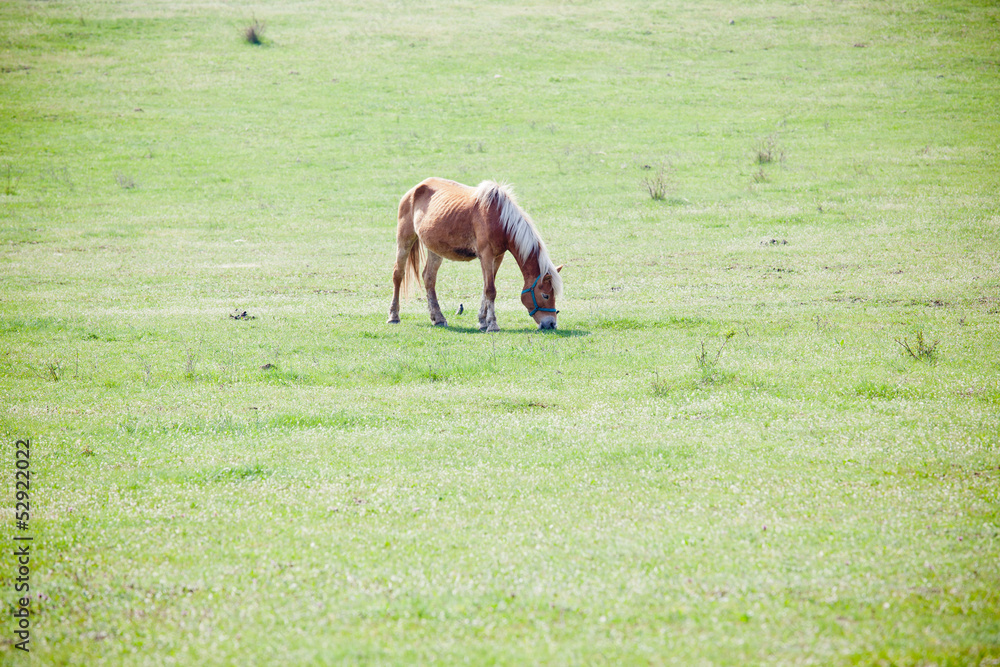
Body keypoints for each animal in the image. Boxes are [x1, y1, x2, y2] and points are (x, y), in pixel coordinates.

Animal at [388, 178, 563, 332]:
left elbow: (486, 288)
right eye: (545, 295)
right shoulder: (486, 256)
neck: (500, 219)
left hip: (435, 249)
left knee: (429, 278)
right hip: (405, 240)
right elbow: (491, 290)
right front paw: (492, 324)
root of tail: (414, 189)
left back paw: (438, 318)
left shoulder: (497, 257)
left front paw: (482, 321)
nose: (551, 324)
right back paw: (393, 316)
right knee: (398, 274)